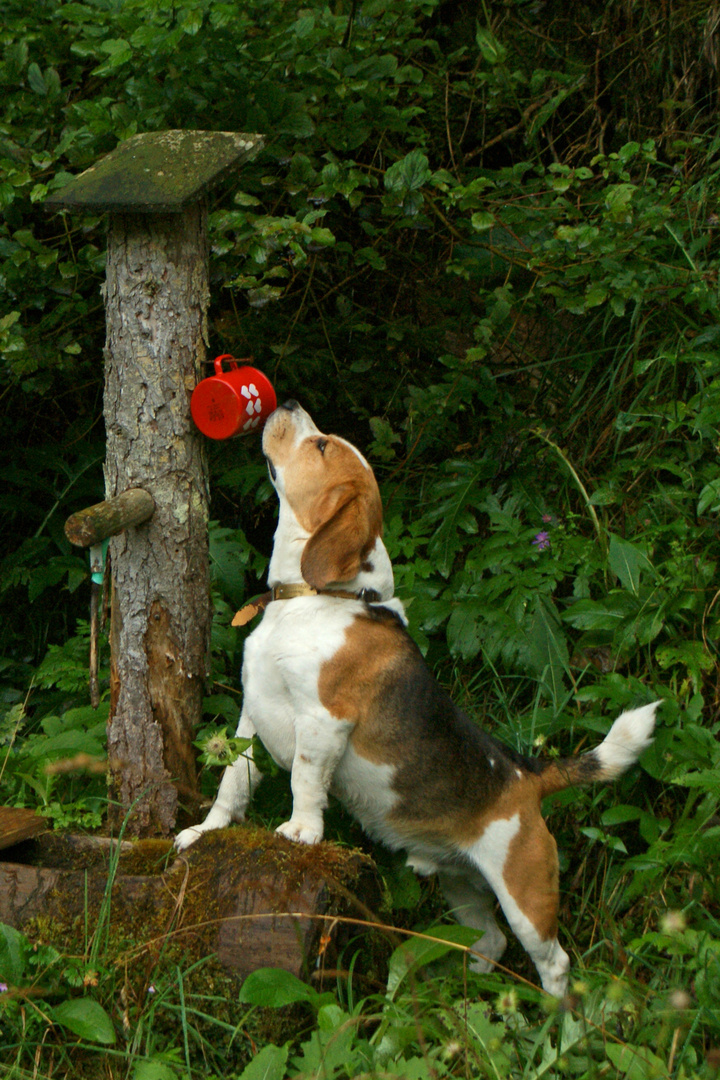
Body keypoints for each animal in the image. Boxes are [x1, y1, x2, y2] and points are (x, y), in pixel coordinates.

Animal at [175, 403, 660, 993]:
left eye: (321, 446)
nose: (287, 405)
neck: (312, 598)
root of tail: (526, 774)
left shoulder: (324, 720)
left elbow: (305, 781)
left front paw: (301, 832)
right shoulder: (251, 716)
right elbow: (232, 782)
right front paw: (206, 831)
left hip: (524, 895)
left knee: (554, 962)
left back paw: (550, 1014)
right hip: (463, 888)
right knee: (491, 939)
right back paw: (467, 983)